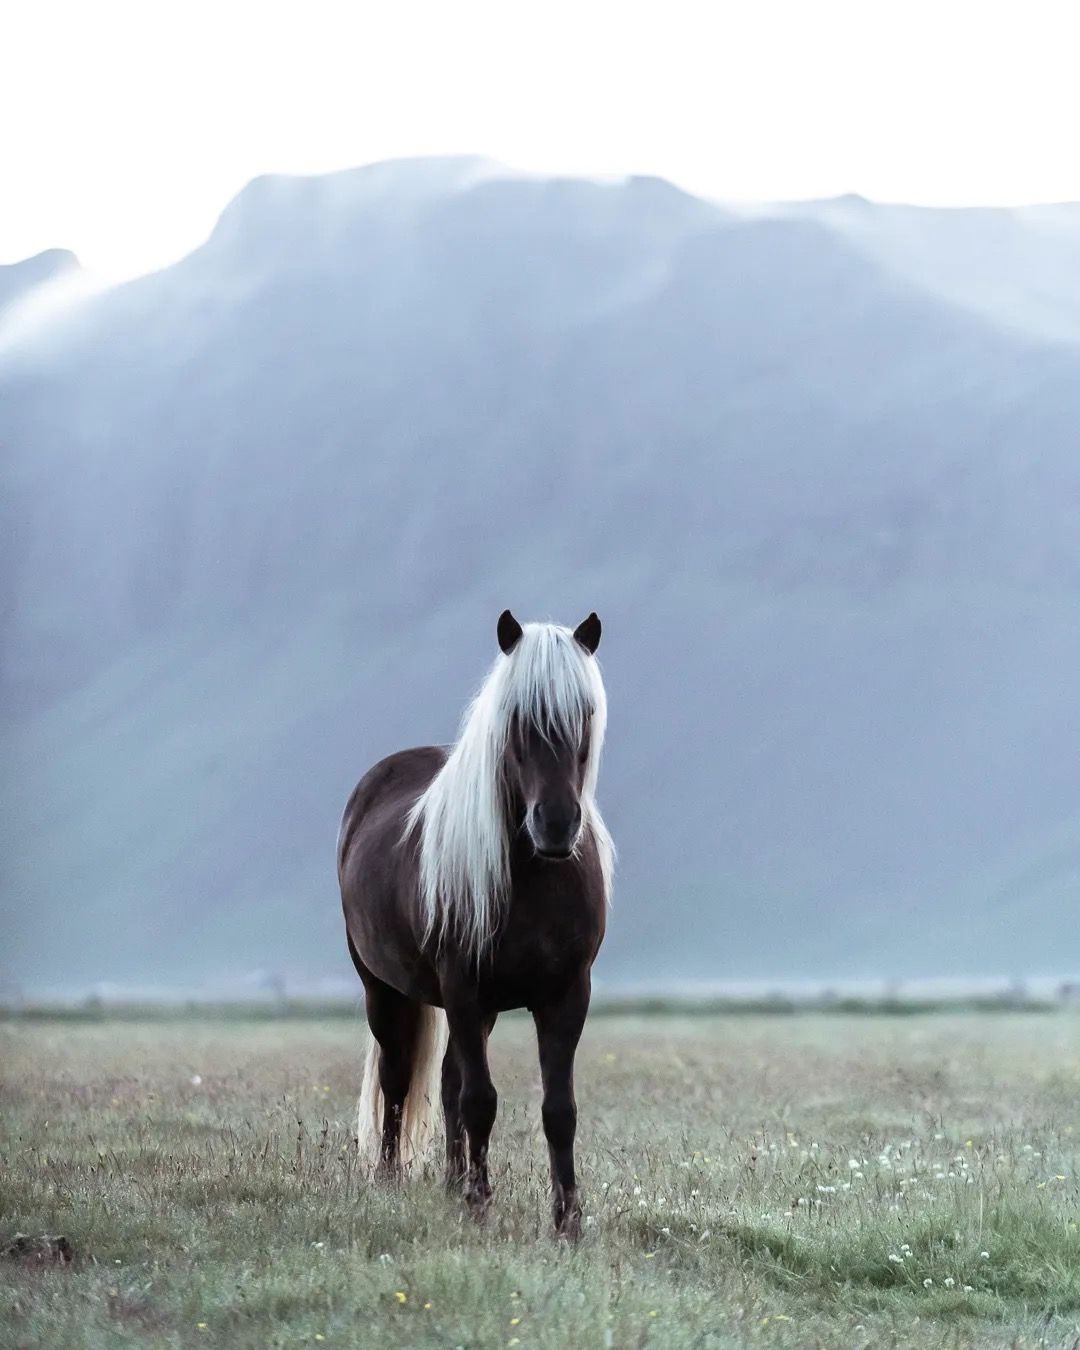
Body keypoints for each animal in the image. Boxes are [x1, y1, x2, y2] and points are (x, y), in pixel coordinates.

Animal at [337, 610, 613, 1237]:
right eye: (516, 719)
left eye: (584, 714)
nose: (556, 824)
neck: (536, 878)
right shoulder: (463, 988)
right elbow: (480, 1100)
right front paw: (480, 1206)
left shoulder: (567, 994)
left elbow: (558, 1109)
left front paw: (567, 1220)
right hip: (384, 989)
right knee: (397, 1078)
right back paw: (391, 1179)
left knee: (445, 1081)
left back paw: (450, 1182)